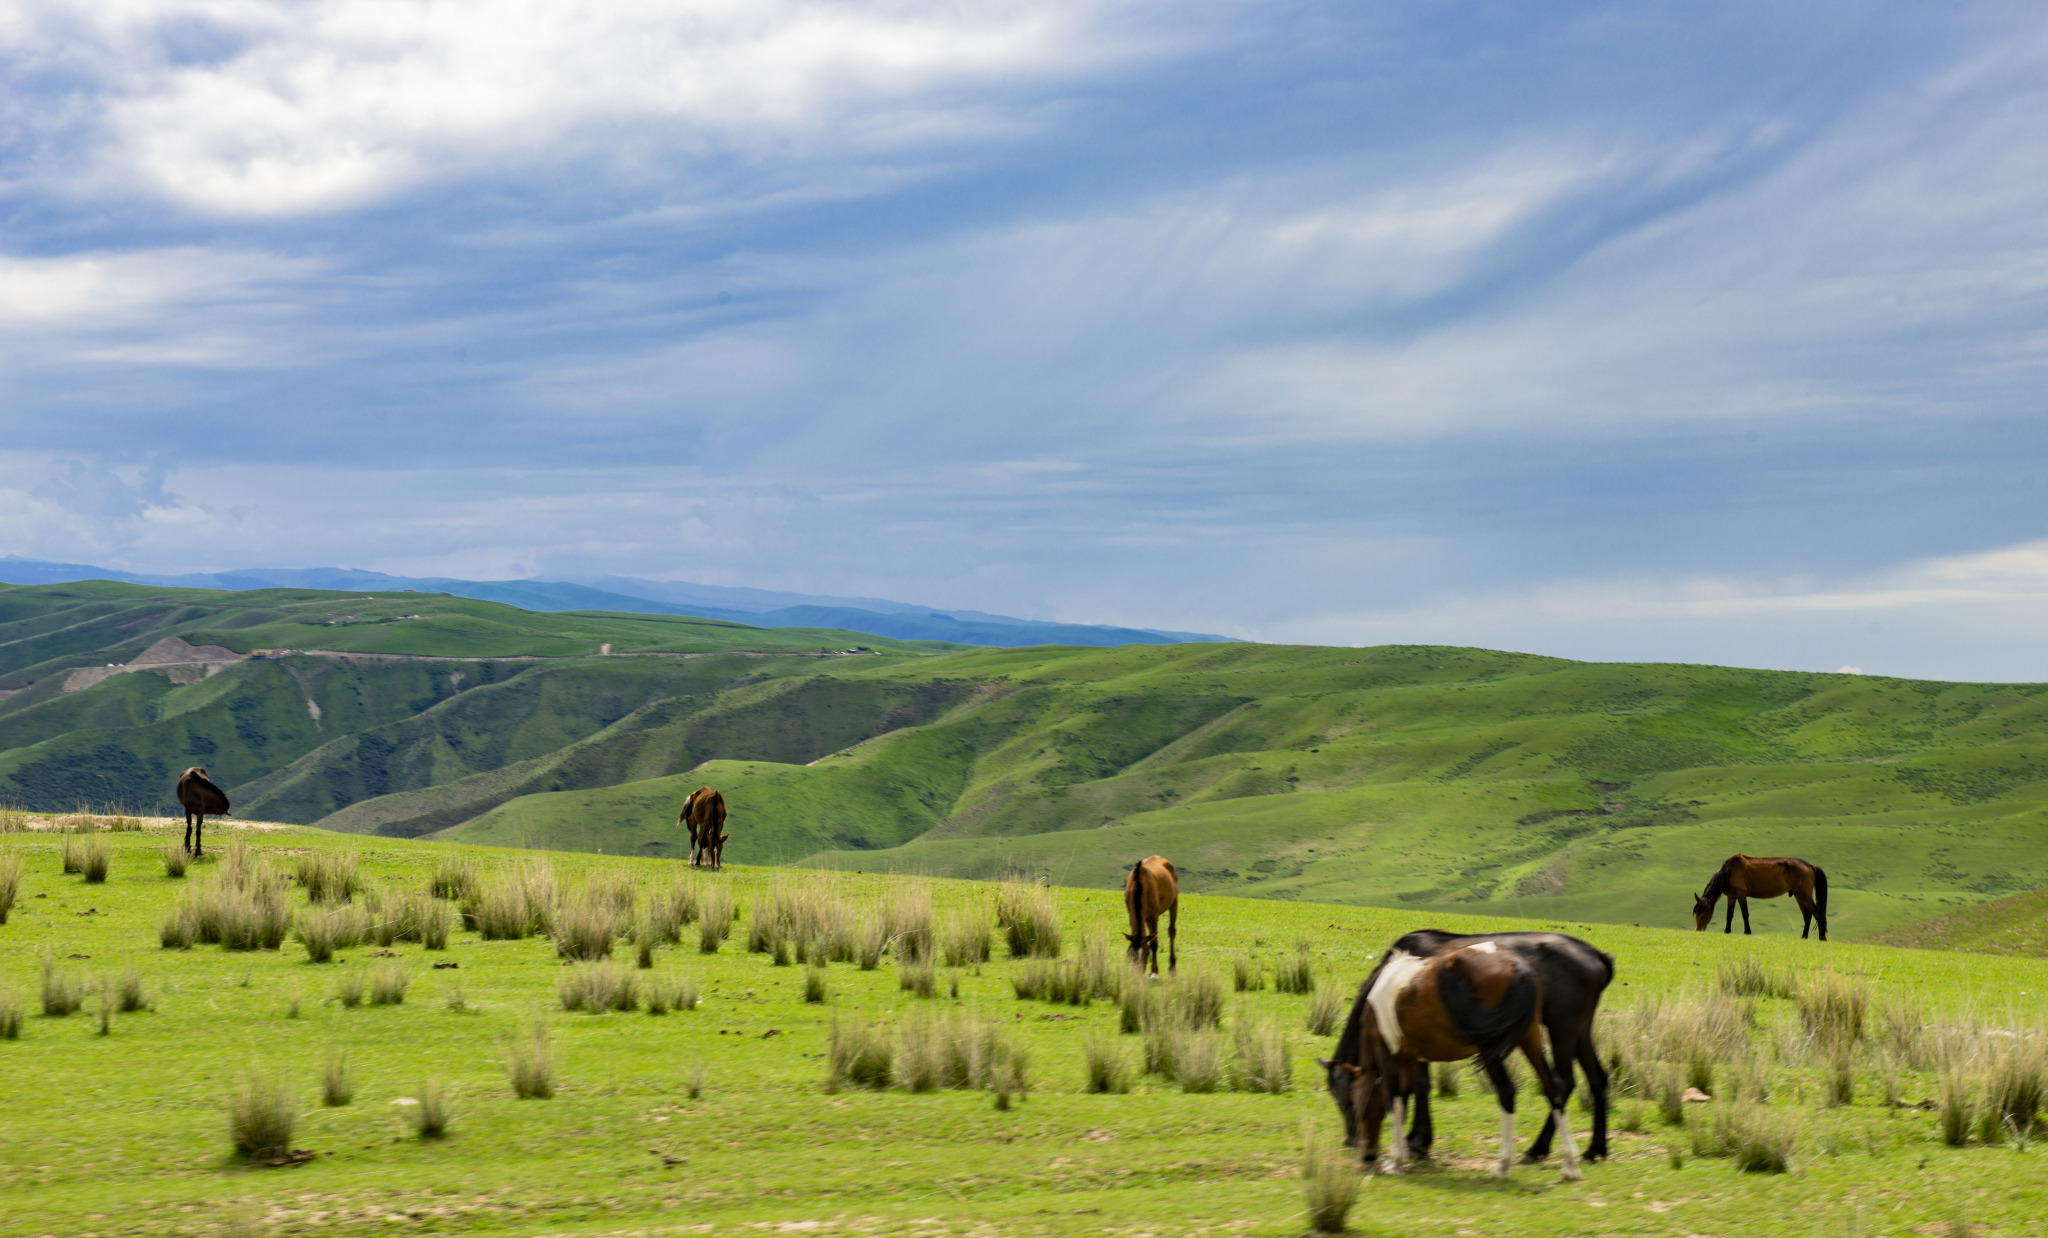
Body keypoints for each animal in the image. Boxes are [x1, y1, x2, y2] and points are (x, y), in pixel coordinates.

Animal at [1327, 926, 1613, 1180]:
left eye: (1348, 1102)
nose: (1353, 1141)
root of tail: (1596, 955)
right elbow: (1412, 1090)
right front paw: (1413, 1143)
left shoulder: (1402, 1051)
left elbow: (1413, 1089)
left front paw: (1414, 1143)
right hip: (1572, 1032)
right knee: (1590, 1080)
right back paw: (1590, 1151)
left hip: (1559, 1030)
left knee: (1558, 1083)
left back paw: (1534, 1152)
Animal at [1687, 856, 1835, 942]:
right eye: (1696, 913)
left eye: (1705, 913)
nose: (1698, 930)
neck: (1728, 871)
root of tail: (1810, 865)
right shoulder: (1732, 896)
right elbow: (1729, 915)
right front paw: (1727, 931)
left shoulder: (1741, 894)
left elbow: (1744, 913)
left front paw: (1747, 931)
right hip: (1799, 896)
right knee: (1807, 916)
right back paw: (1804, 936)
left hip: (1804, 895)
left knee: (1817, 913)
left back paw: (1822, 937)